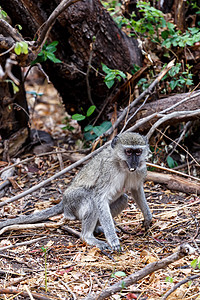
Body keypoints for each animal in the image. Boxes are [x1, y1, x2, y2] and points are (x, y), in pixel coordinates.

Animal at [0, 132, 152, 252]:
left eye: (138, 152)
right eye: (128, 152)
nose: (134, 163)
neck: (122, 165)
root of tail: (64, 201)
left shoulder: (140, 169)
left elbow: (136, 189)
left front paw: (147, 217)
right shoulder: (108, 170)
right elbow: (99, 197)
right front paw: (112, 239)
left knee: (123, 198)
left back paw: (97, 229)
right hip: (72, 202)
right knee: (92, 200)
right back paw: (88, 236)